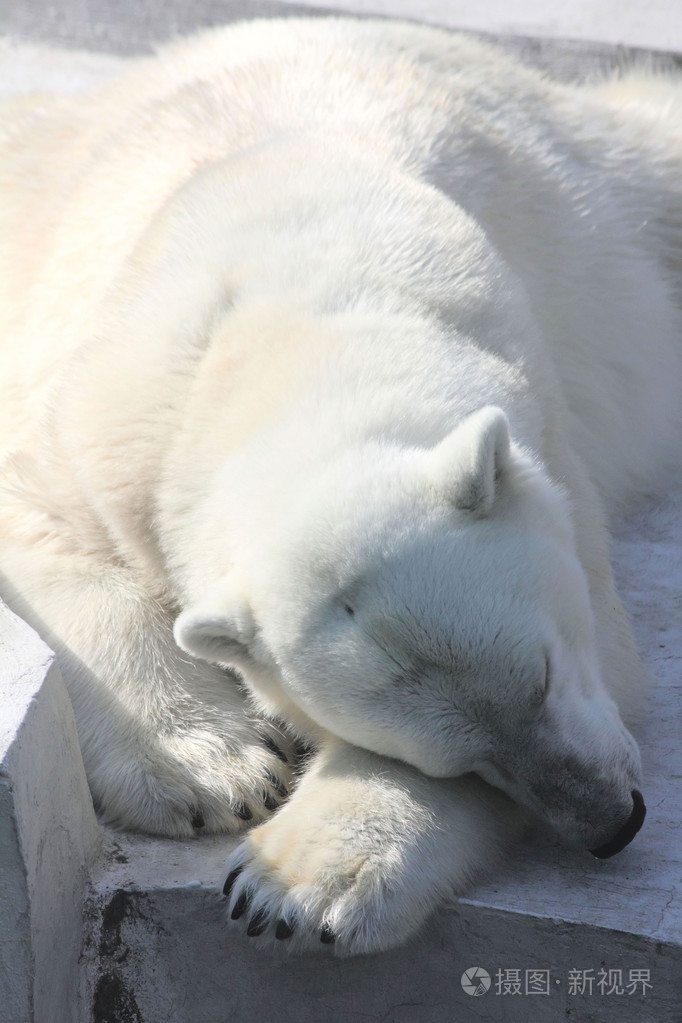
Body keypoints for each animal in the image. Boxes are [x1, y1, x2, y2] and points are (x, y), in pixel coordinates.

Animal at [0, 17, 680, 956]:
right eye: (459, 759)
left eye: (542, 676)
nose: (613, 820)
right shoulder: (92, 416)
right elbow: (44, 528)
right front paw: (212, 766)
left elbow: (613, 646)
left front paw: (291, 882)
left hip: (615, 191)